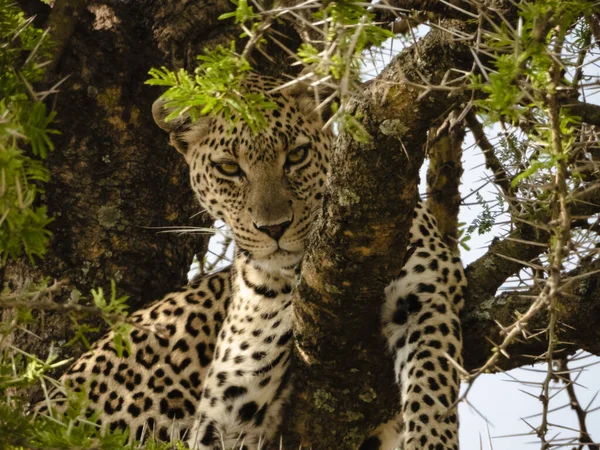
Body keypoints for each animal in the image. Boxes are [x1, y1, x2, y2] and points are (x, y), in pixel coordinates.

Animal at [35, 72, 466, 448]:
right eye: (229, 167)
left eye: (297, 155)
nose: (274, 228)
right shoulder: (223, 411)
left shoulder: (428, 288)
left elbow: (433, 380)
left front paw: (431, 440)